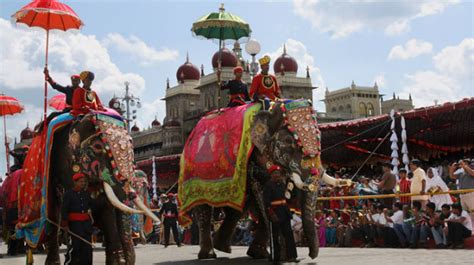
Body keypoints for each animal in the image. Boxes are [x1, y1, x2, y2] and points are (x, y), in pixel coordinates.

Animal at [178, 100, 348, 258]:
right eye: (289, 143)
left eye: (320, 139)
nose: (311, 255)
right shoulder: (254, 159)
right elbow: (262, 196)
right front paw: (280, 255)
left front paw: (262, 254)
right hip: (193, 170)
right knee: (203, 209)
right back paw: (209, 254)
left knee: (239, 207)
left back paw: (224, 248)